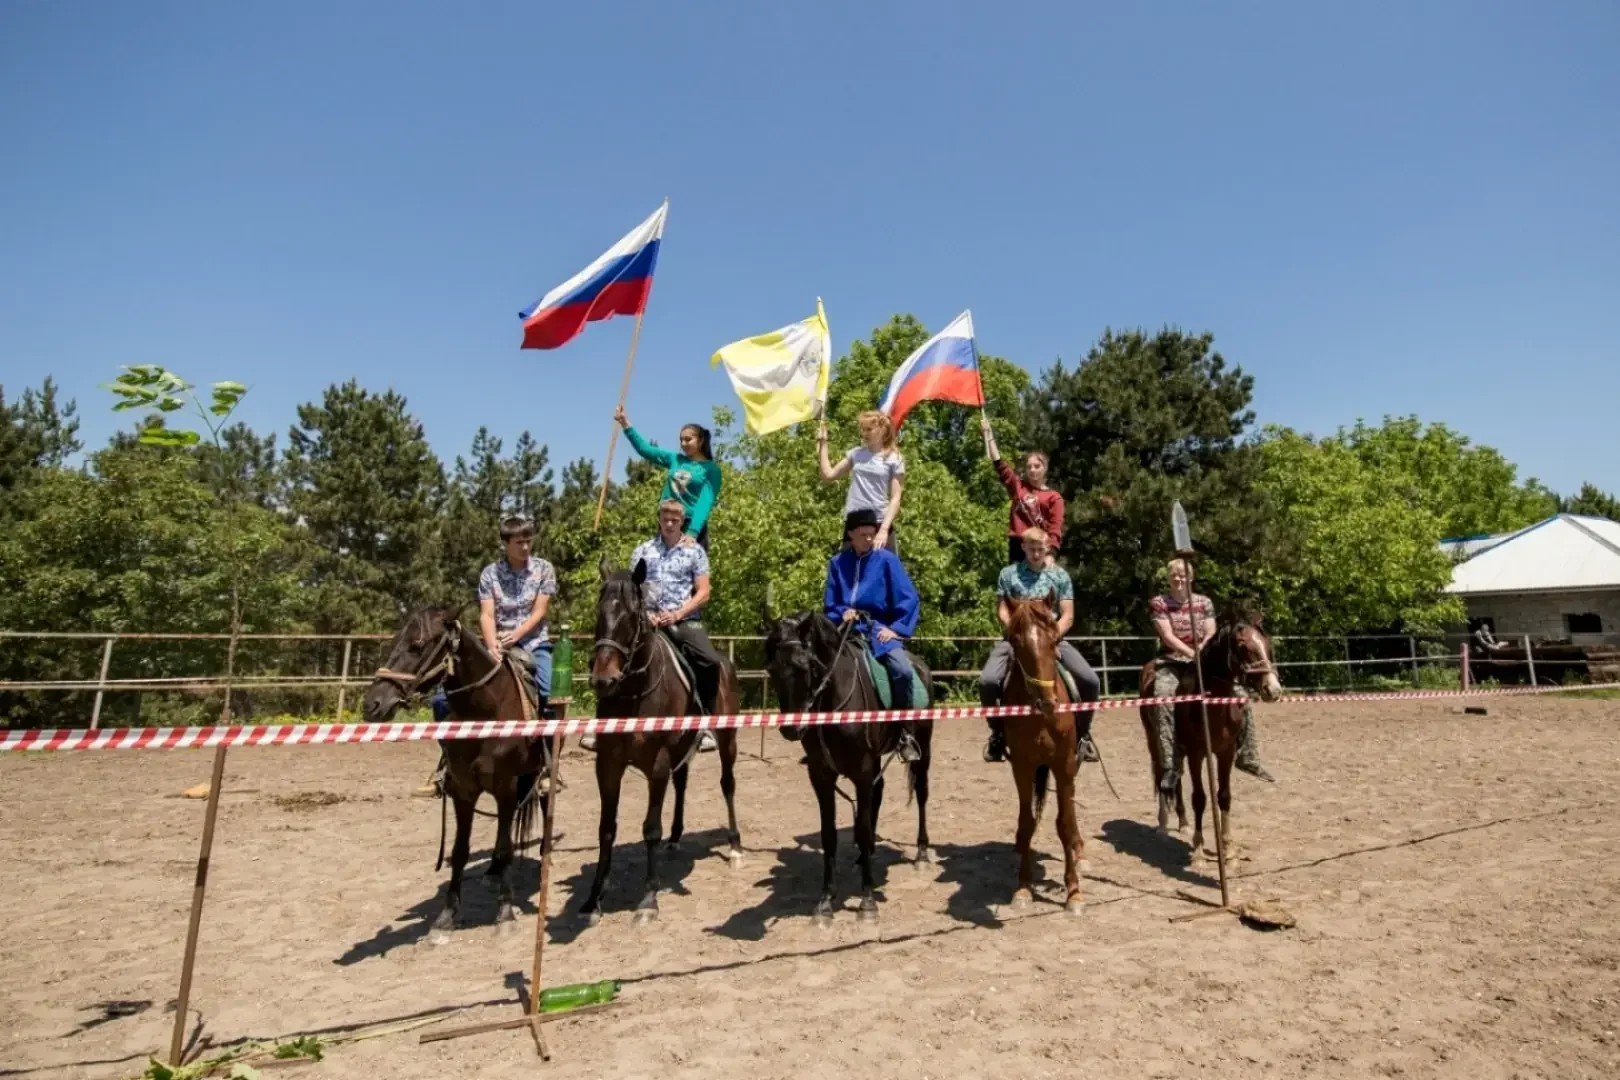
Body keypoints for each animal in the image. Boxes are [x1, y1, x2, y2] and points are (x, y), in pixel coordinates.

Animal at [362, 608, 550, 939]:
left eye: (417, 645)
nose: (372, 704)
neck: (487, 711)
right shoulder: (463, 791)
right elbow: (460, 850)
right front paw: (447, 915)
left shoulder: (505, 788)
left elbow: (505, 847)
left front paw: (505, 912)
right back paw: (491, 871)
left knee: (542, 800)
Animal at [991, 595, 1082, 919]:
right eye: (1016, 641)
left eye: (1054, 639)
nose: (1048, 702)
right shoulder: (1022, 766)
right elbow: (1028, 821)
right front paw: (1023, 888)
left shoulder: (1064, 764)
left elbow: (1064, 823)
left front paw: (1074, 893)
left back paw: (1080, 848)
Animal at [1134, 621, 1283, 867]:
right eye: (1243, 647)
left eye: (1267, 643)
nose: (1273, 690)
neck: (1211, 706)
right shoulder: (1197, 754)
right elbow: (1200, 799)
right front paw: (1198, 852)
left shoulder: (1225, 753)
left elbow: (1224, 797)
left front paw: (1229, 852)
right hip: (1153, 740)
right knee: (1162, 774)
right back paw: (1163, 826)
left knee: (1176, 776)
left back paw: (1183, 823)